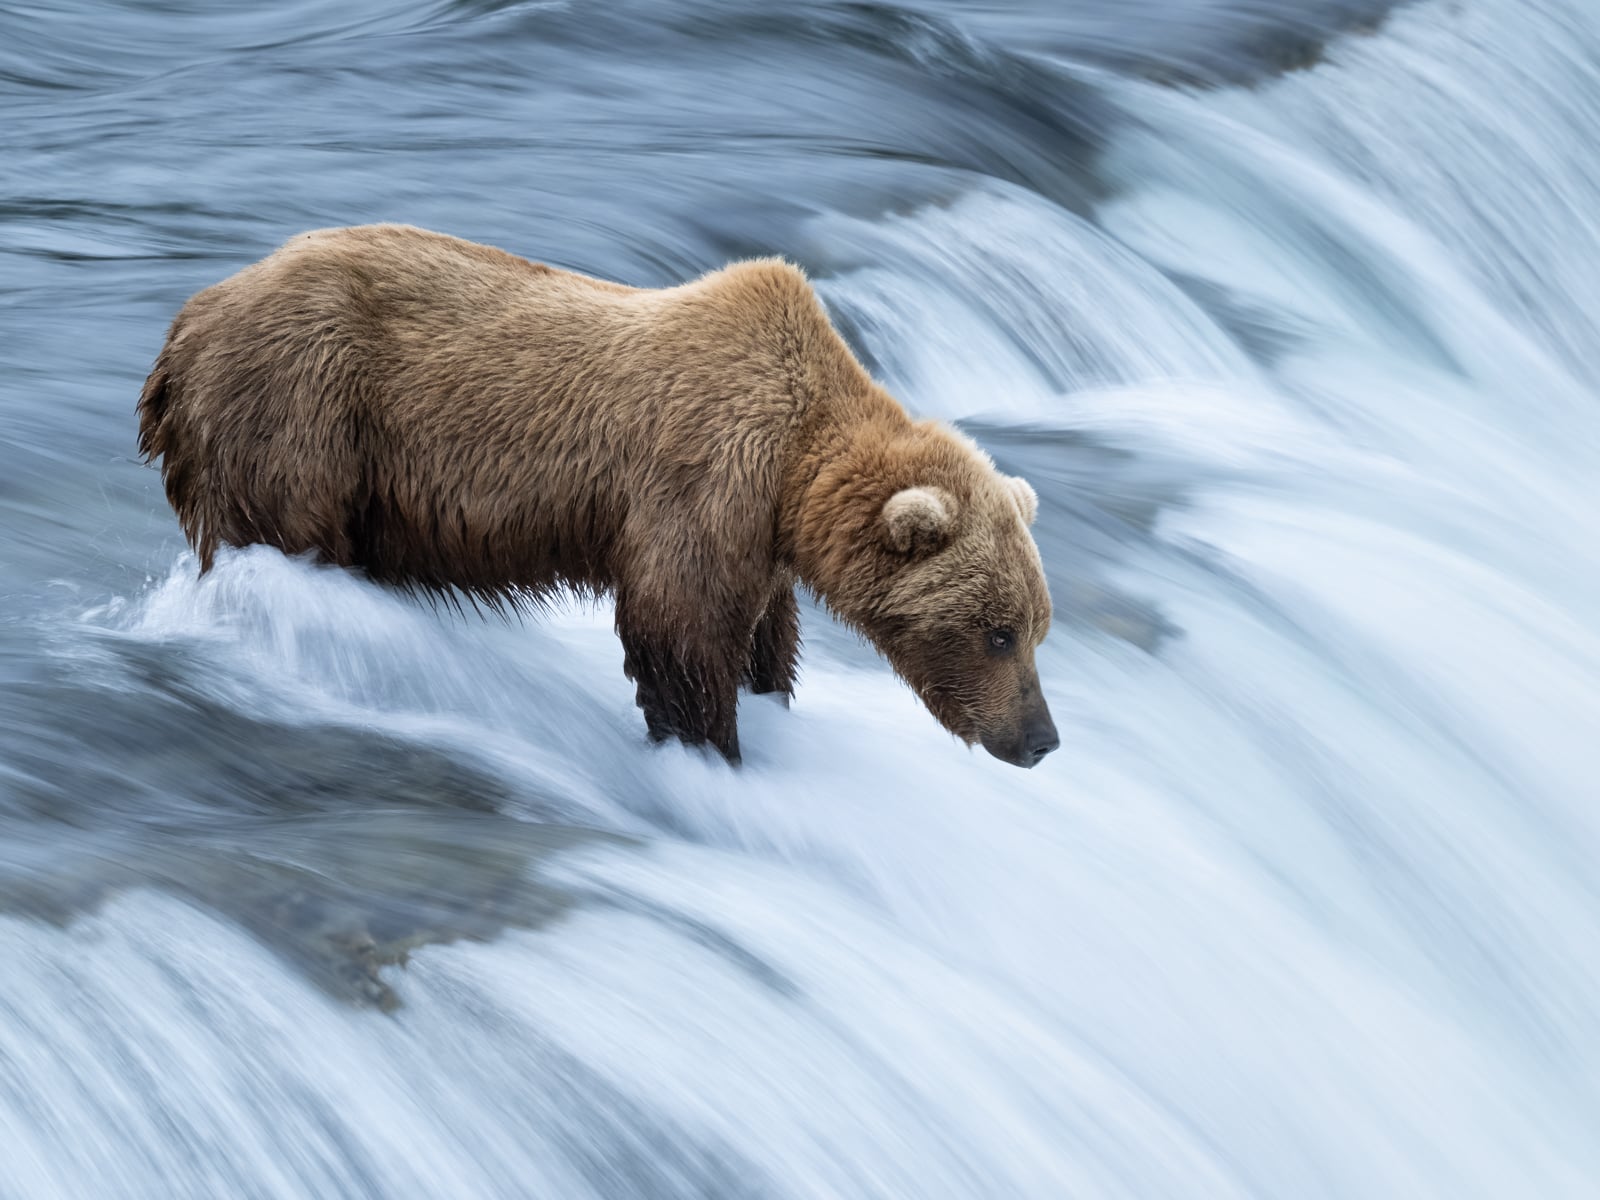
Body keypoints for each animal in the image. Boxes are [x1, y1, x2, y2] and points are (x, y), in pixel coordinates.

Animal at [137, 224, 1058, 767]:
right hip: (302, 412)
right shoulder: (701, 480)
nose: (1041, 739)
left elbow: (766, 631)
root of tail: (188, 321)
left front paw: (767, 694)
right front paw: (711, 747)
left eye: (1037, 628)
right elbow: (677, 632)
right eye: (997, 632)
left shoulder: (758, 534)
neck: (795, 465)